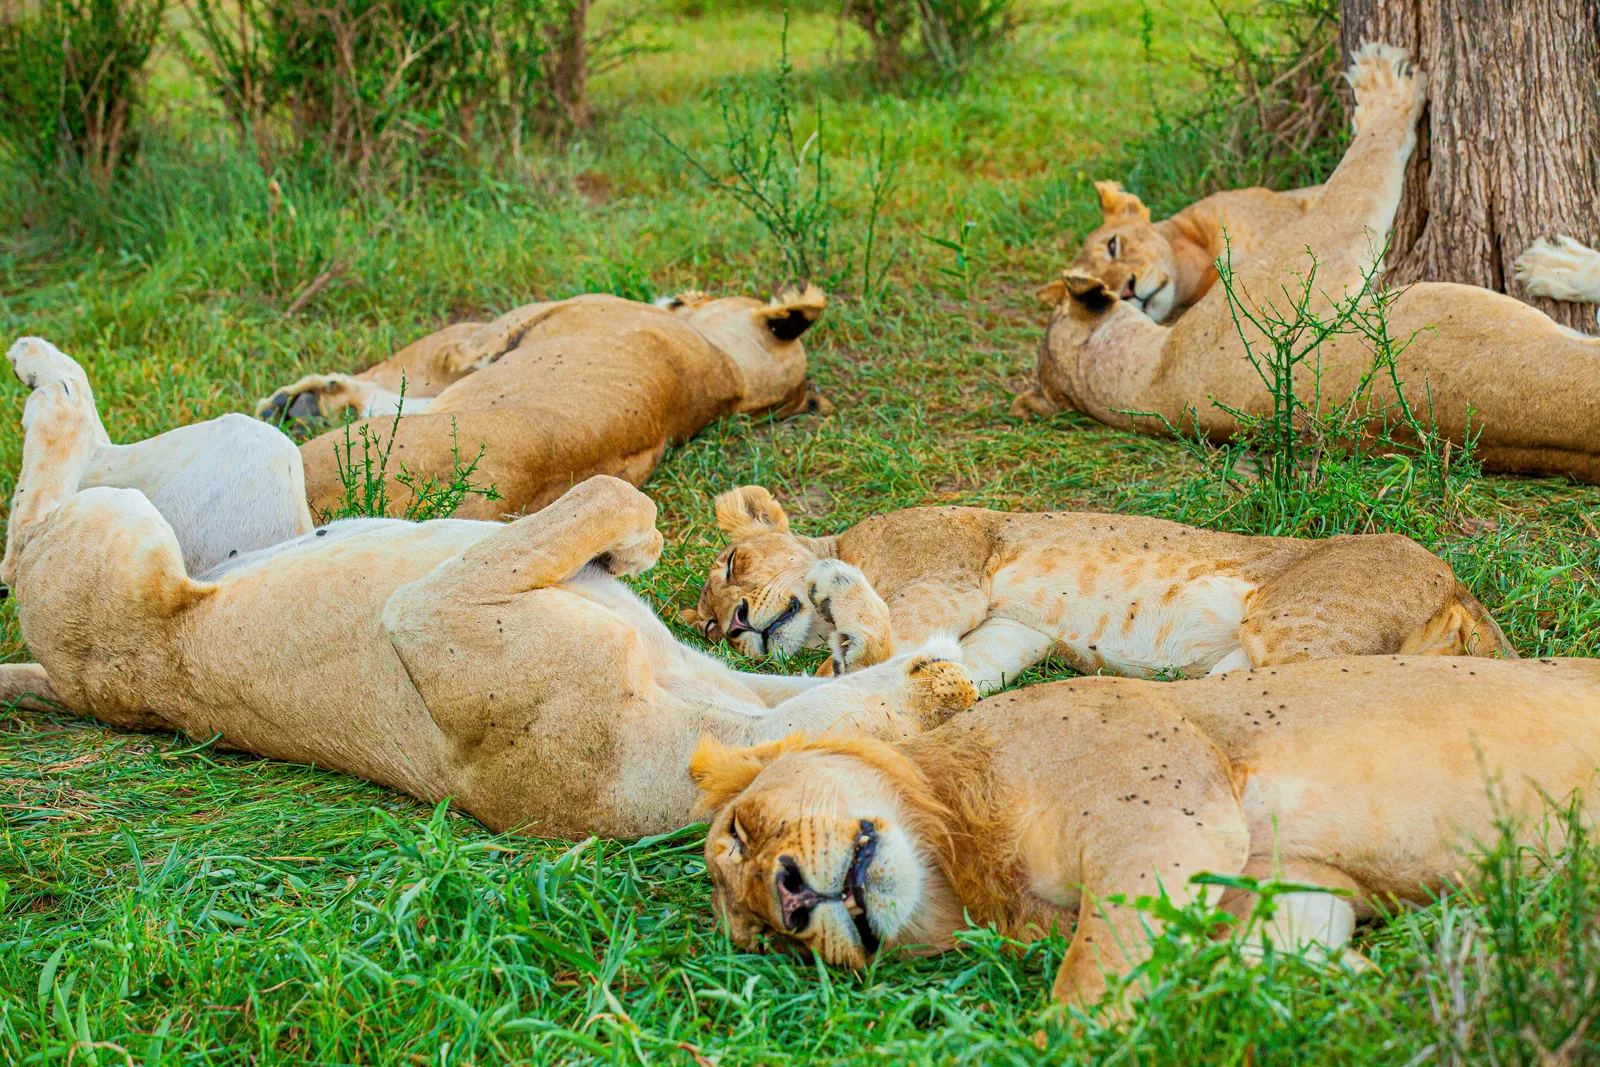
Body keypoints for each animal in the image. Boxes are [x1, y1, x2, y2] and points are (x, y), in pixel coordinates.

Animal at [0, 338, 976, 840]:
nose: (953, 676)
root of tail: (77, 691)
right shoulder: (435, 608)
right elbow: (617, 493)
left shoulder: (428, 609)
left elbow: (615, 492)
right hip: (236, 463)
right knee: (67, 481)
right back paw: (40, 357)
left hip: (124, 525)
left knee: (36, 520)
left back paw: (39, 365)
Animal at [255, 287, 830, 521]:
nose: (689, 293)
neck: (729, 369)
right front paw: (305, 400)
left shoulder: (491, 332)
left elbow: (401, 371)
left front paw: (303, 398)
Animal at [691, 654, 1600, 1010]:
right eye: (767, 942)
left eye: (740, 831)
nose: (791, 902)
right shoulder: (1293, 891)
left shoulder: (1166, 820)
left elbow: (1081, 990)